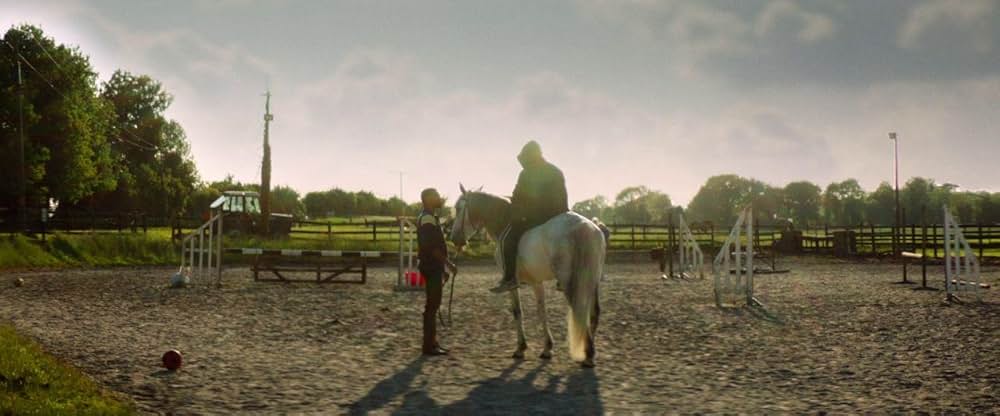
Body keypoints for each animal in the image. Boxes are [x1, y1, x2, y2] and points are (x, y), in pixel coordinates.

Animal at [448, 185, 605, 367]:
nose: (454, 239)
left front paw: (520, 348)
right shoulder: (536, 282)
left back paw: (588, 355)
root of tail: (584, 228)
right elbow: (541, 311)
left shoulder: (512, 282)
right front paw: (547, 348)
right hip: (592, 280)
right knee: (593, 312)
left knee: (580, 311)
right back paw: (589, 352)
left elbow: (517, 311)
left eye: (459, 209)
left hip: (569, 281)